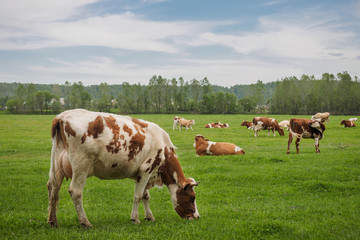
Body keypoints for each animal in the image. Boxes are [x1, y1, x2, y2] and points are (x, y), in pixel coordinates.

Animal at [47, 109, 200, 227]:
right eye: (192, 197)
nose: (197, 217)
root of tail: (63, 116)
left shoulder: (143, 174)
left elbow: (145, 196)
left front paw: (149, 216)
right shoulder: (147, 169)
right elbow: (138, 196)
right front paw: (135, 219)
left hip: (57, 166)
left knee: (53, 188)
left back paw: (52, 221)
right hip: (81, 165)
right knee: (76, 192)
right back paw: (85, 222)